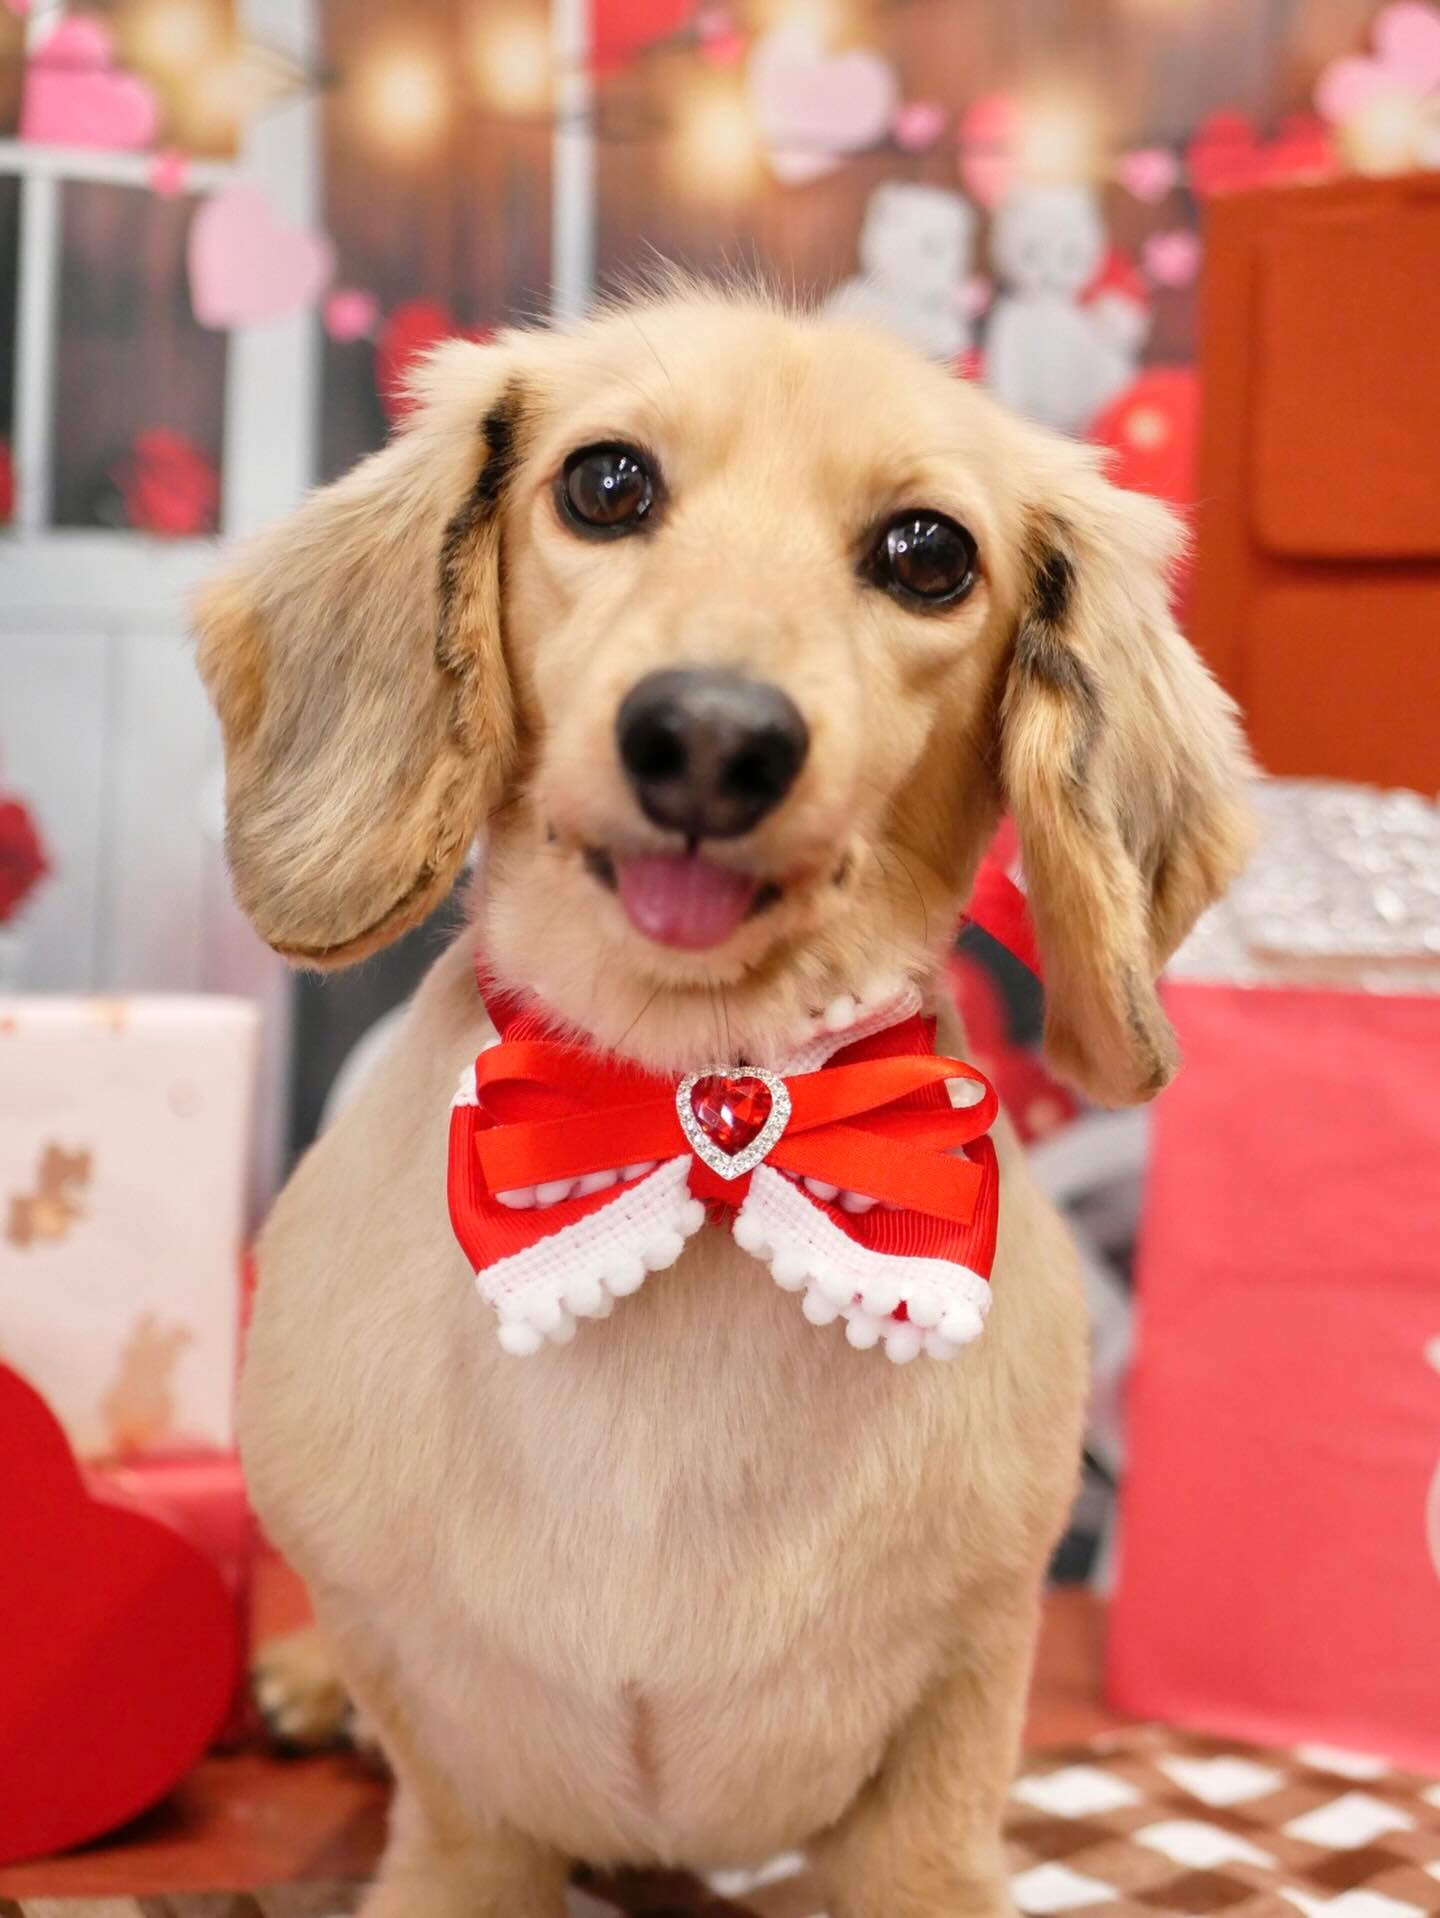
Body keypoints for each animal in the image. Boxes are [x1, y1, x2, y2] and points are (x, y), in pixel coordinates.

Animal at [196, 280, 1251, 1918]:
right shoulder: (442, 1719)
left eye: (928, 553)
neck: (700, 1093)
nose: (709, 735)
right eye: (606, 482)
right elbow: (457, 1826)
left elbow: (930, 1844)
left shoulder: (964, 1694)